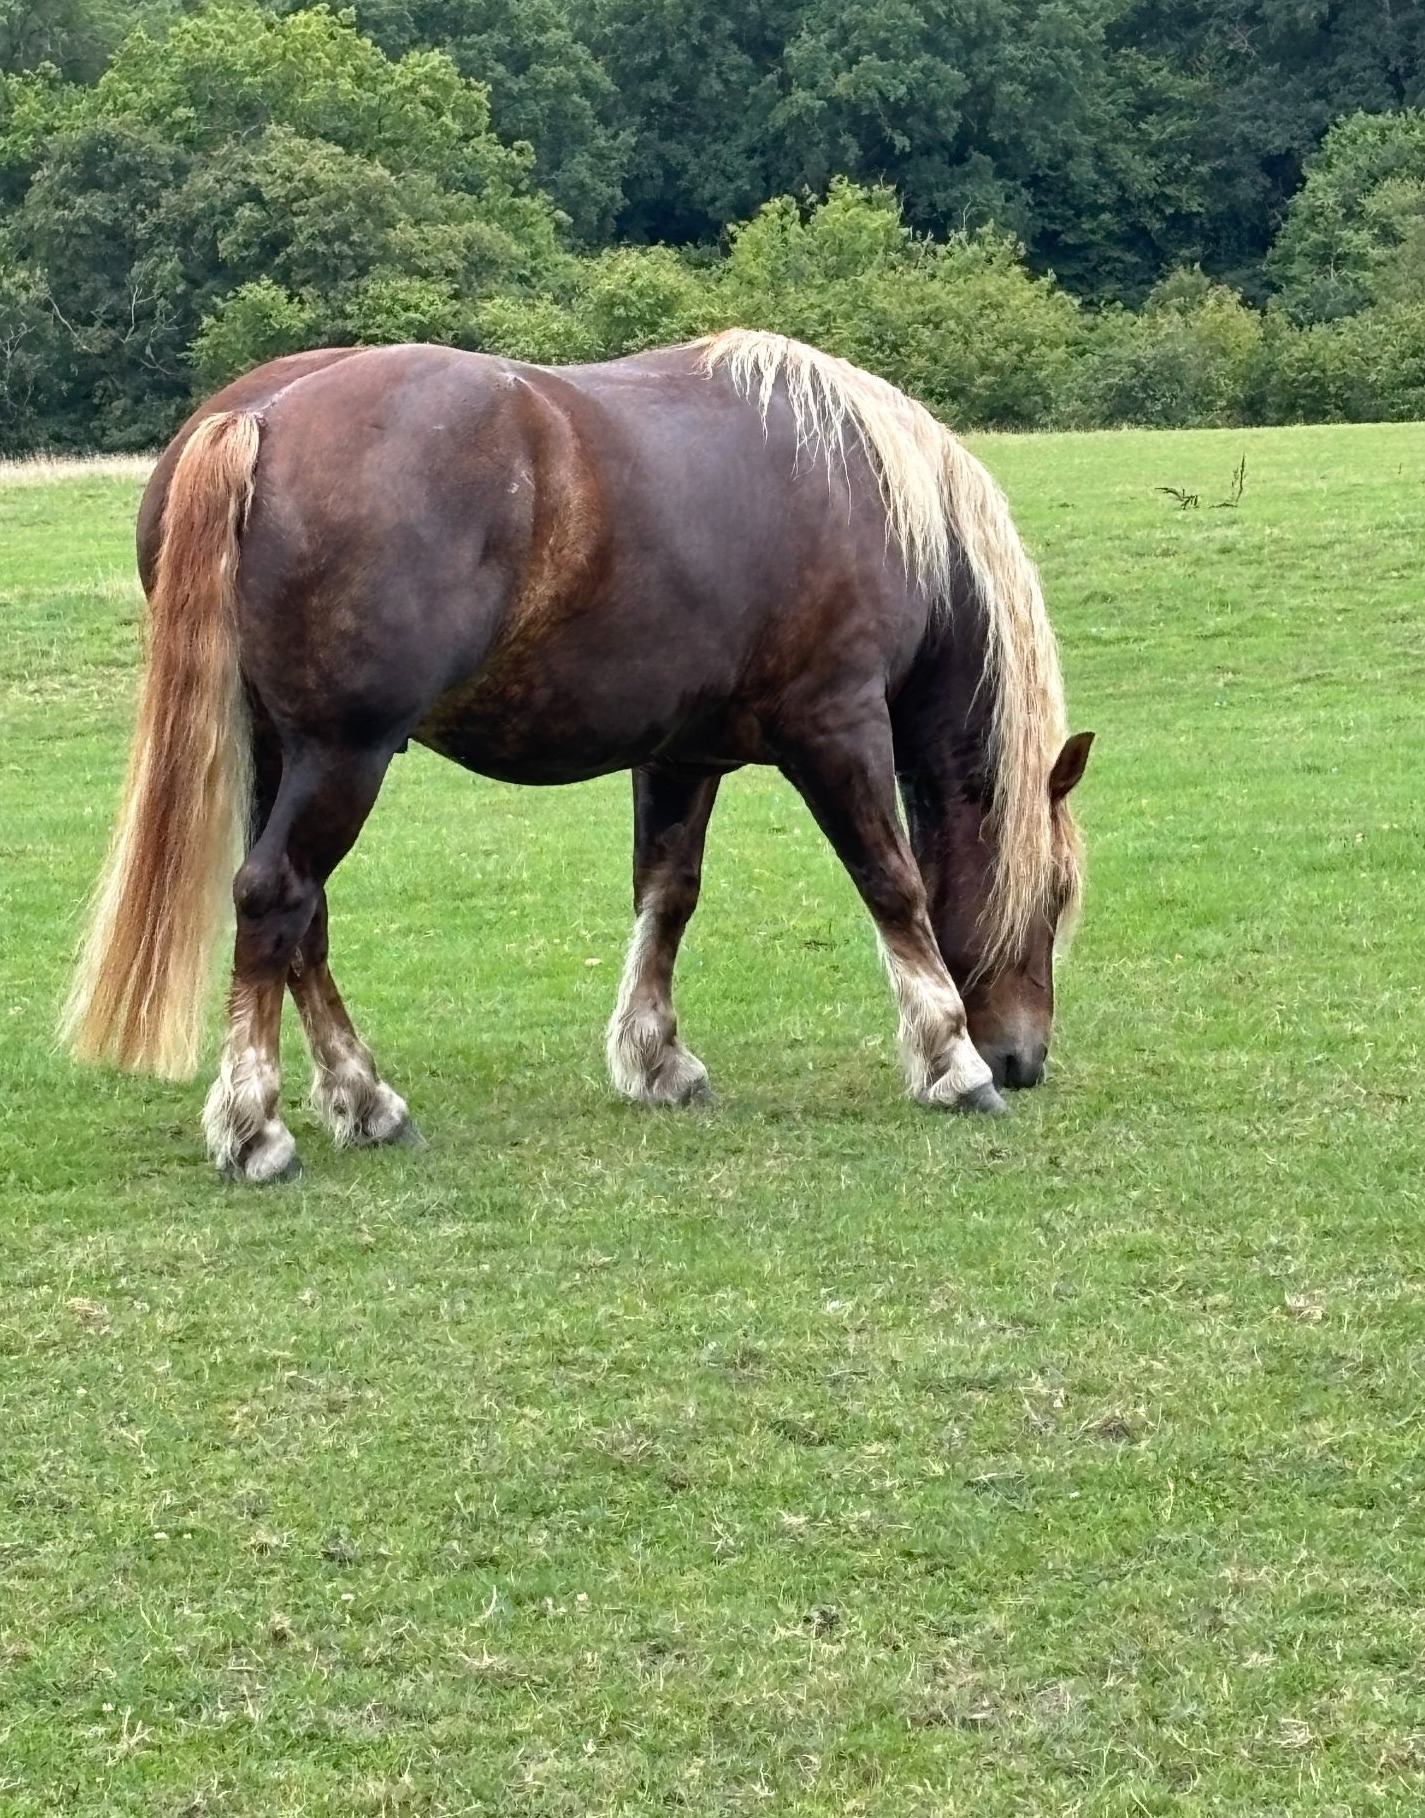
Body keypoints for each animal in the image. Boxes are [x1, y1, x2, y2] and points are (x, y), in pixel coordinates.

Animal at [62, 330, 1093, 1182]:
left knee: (300, 918)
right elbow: (892, 886)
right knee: (277, 896)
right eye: (1055, 898)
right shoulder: (835, 730)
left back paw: (365, 1100)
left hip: (283, 755)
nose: (1022, 1059)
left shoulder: (682, 757)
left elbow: (667, 893)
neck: (868, 497)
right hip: (342, 755)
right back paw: (257, 1128)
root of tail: (262, 416)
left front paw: (657, 1058)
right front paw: (951, 1063)